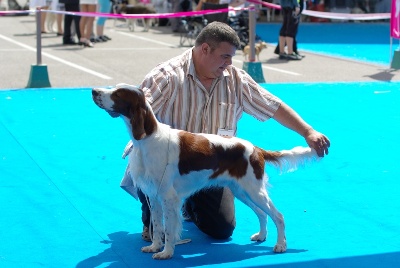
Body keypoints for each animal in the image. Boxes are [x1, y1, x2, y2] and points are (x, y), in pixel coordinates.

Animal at [92, 84, 320, 260]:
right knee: (263, 214)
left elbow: (168, 229)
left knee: (278, 215)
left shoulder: (168, 197)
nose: (94, 91)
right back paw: (261, 236)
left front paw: (166, 253)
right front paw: (154, 247)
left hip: (254, 190)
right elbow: (156, 227)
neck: (147, 139)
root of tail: (256, 149)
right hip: (242, 191)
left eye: (118, 94)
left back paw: (281, 245)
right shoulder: (153, 196)